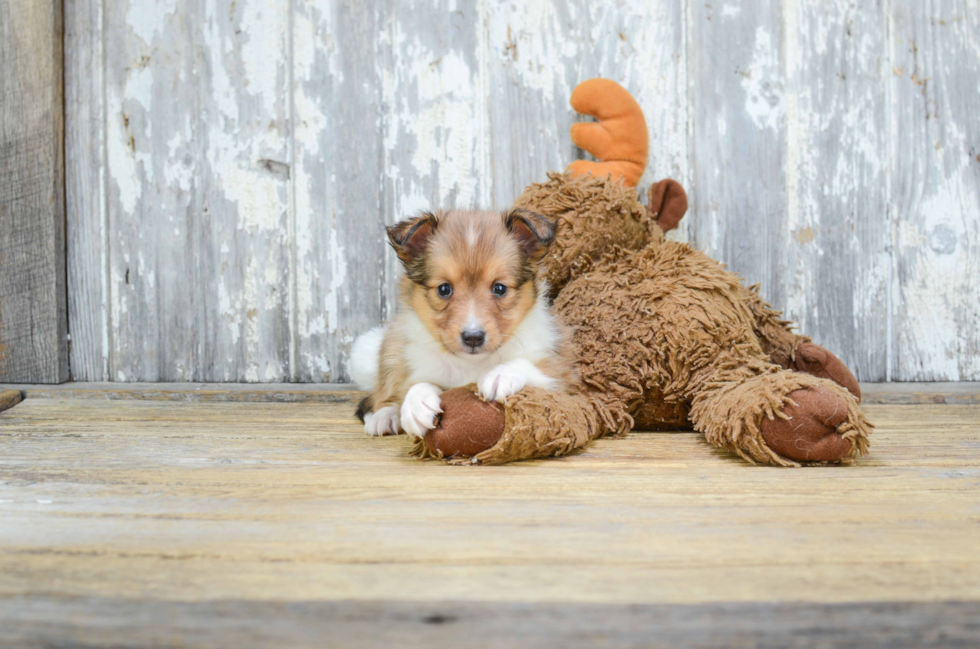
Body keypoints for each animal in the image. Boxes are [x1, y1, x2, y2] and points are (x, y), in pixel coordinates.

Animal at [354, 208, 576, 438]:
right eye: (444, 289)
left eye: (499, 288)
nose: (473, 338)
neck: (472, 363)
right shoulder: (418, 365)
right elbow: (416, 384)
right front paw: (416, 405)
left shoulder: (561, 374)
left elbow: (526, 363)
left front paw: (500, 375)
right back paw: (383, 417)